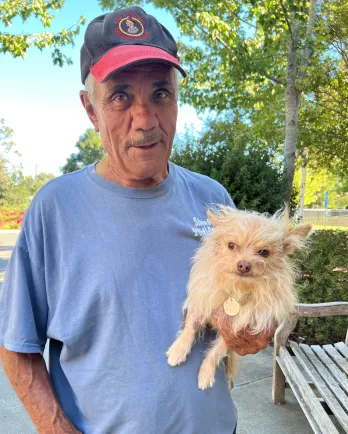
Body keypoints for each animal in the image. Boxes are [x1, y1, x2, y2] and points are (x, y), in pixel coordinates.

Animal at [167, 207, 312, 390]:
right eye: (231, 245)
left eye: (264, 252)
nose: (244, 265)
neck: (237, 289)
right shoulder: (202, 302)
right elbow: (190, 327)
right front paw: (178, 350)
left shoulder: (234, 330)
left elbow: (216, 352)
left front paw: (206, 373)